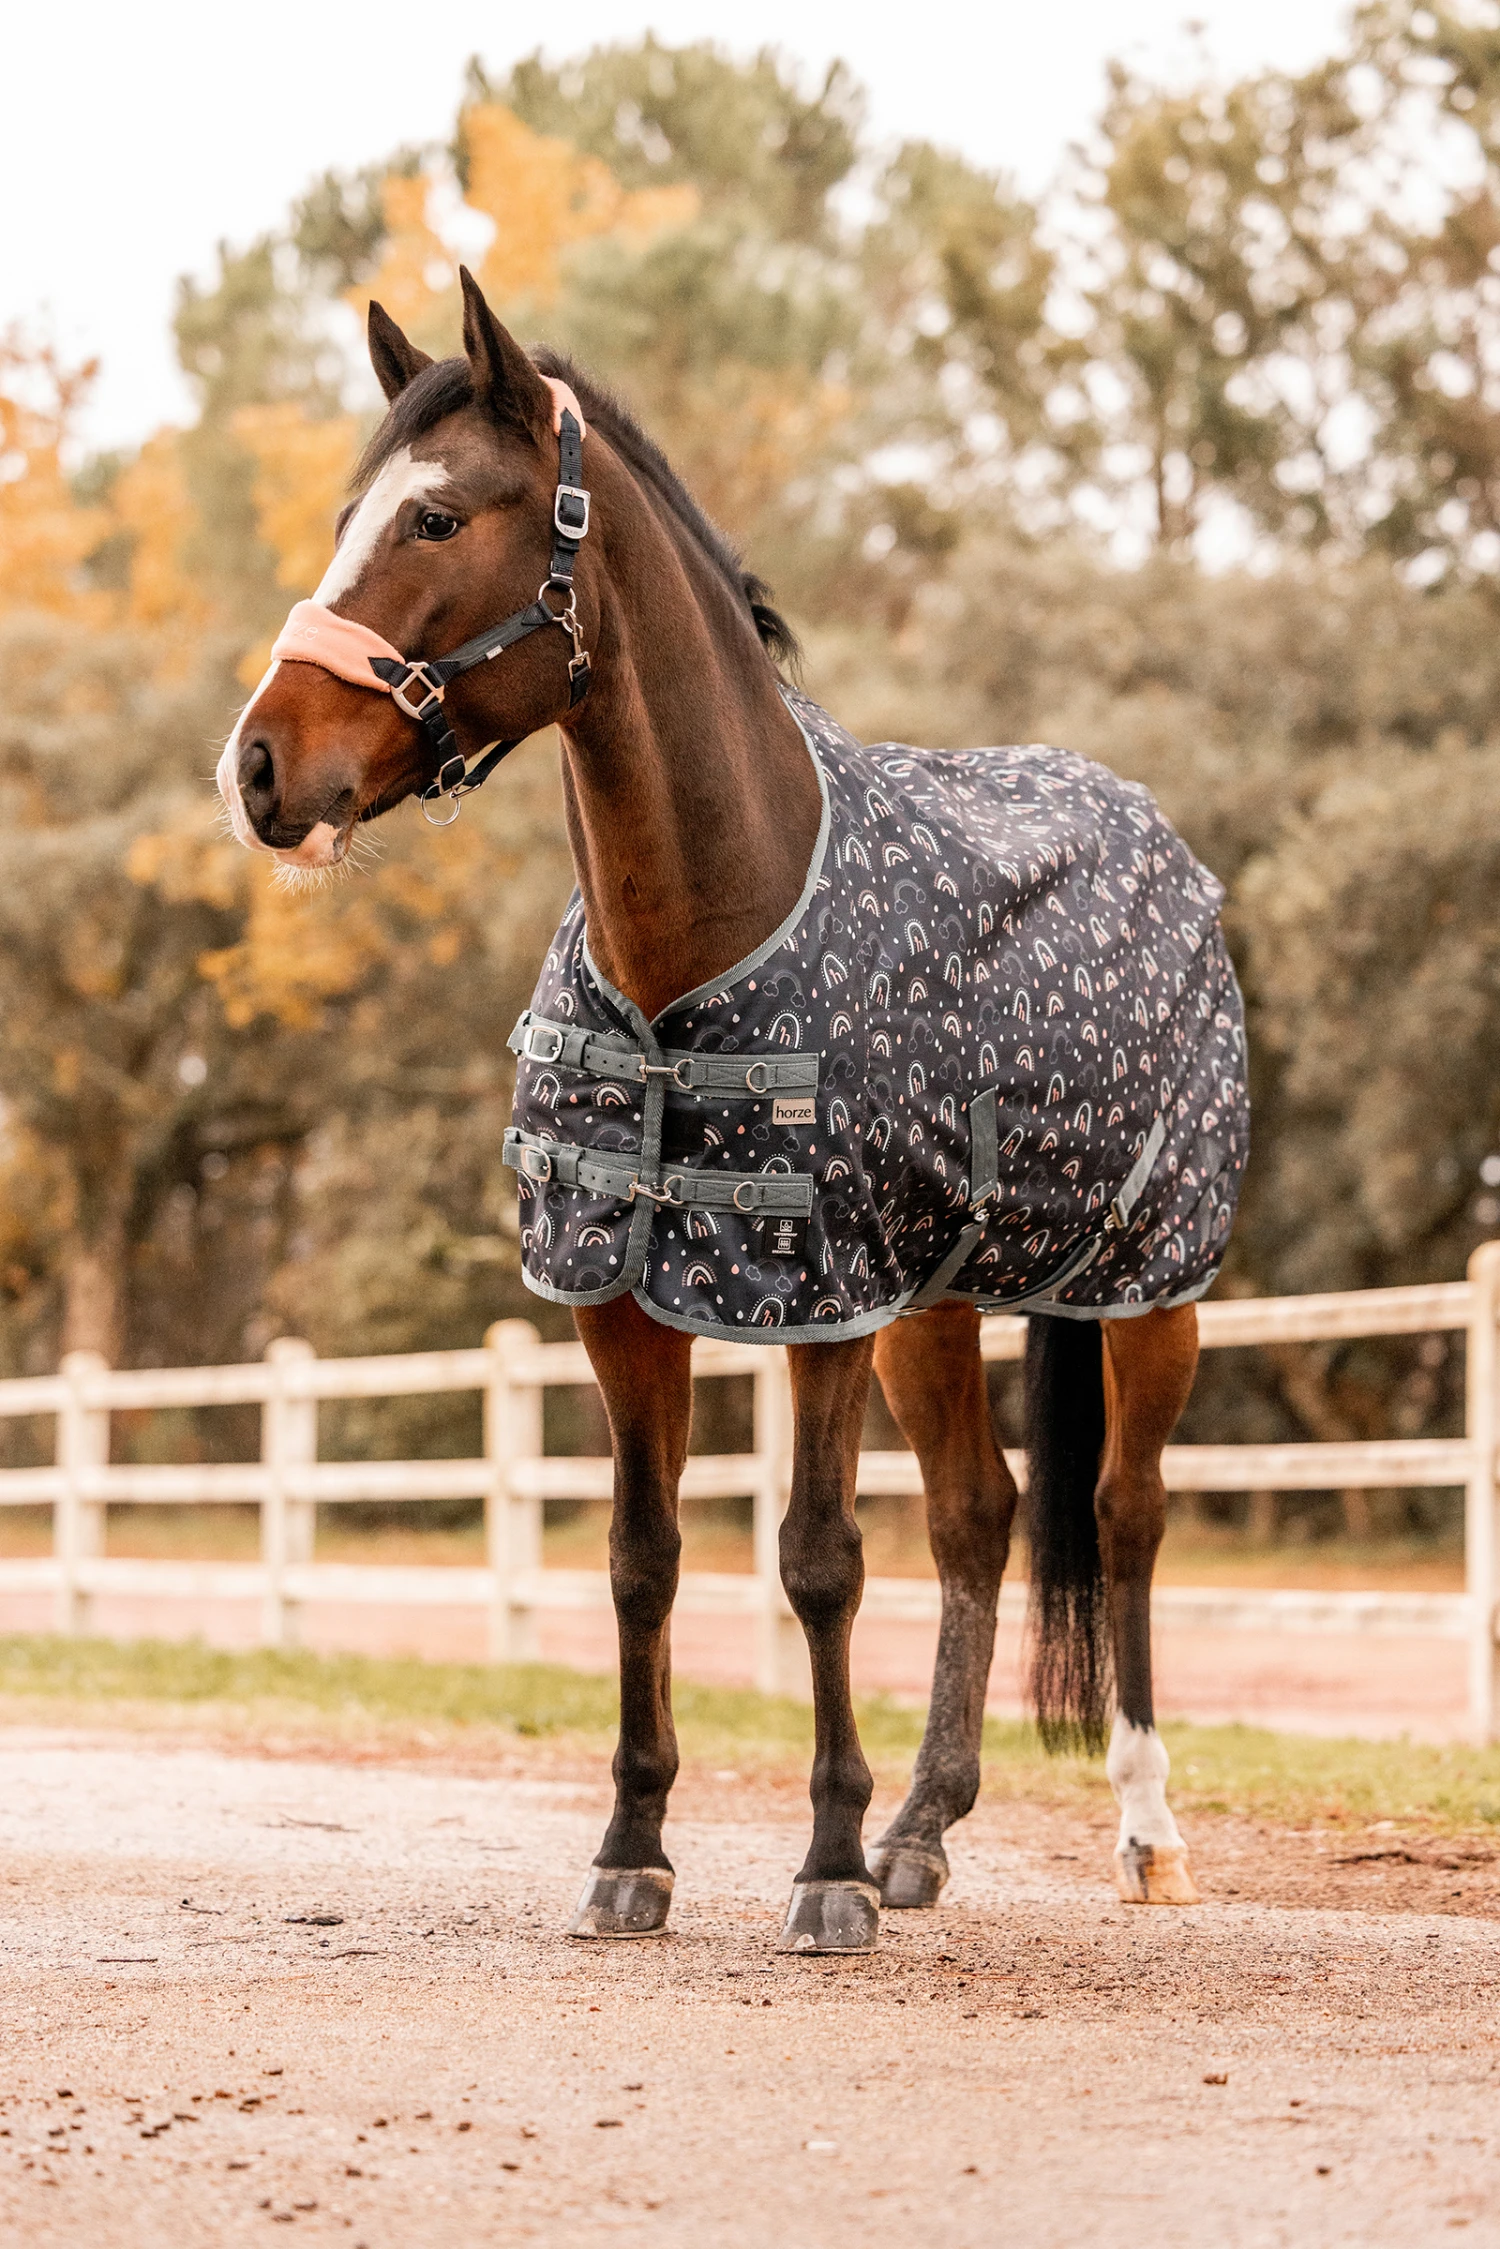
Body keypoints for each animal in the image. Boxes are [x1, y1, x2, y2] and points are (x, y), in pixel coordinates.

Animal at [217, 268, 1248, 1953]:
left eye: (436, 517)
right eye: (346, 515)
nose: (259, 768)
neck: (704, 933)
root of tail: (1146, 826)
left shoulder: (815, 1296)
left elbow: (819, 1561)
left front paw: (822, 1869)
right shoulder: (623, 1298)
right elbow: (642, 1560)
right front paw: (636, 1849)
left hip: (1147, 1286)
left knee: (1127, 1511)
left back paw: (1143, 1832)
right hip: (930, 1310)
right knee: (980, 1518)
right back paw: (922, 1833)